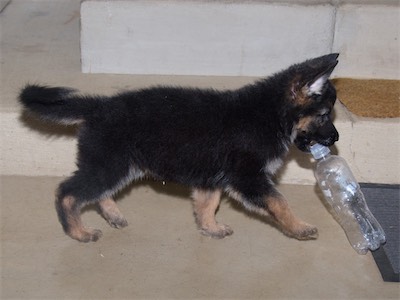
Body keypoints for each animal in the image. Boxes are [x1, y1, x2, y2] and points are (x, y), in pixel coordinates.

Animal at [18, 53, 338, 241]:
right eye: (324, 115)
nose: (335, 140)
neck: (270, 114)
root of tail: (98, 106)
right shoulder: (247, 177)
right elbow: (279, 201)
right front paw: (299, 227)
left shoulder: (213, 176)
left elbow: (208, 203)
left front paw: (210, 227)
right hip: (110, 164)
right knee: (68, 193)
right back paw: (78, 232)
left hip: (117, 165)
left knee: (96, 193)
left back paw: (113, 216)